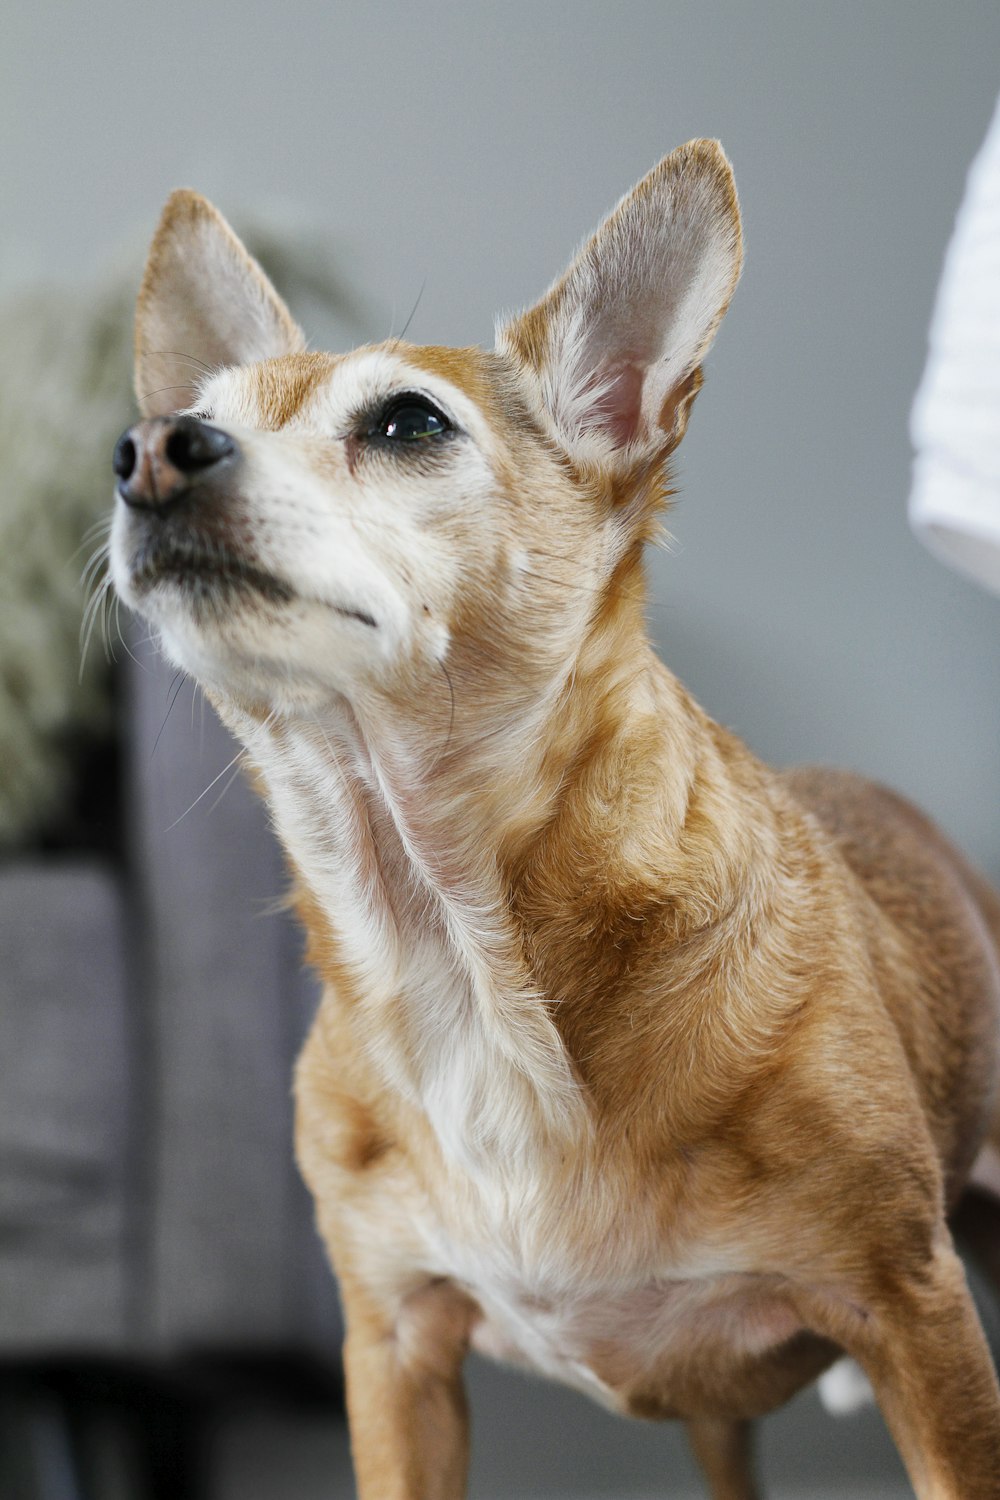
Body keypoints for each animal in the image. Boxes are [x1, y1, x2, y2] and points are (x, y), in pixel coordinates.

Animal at [109, 143, 1000, 1500]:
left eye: (408, 423)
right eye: (183, 416)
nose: (153, 449)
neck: (454, 944)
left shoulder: (911, 1315)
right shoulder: (398, 1355)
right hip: (711, 1419)